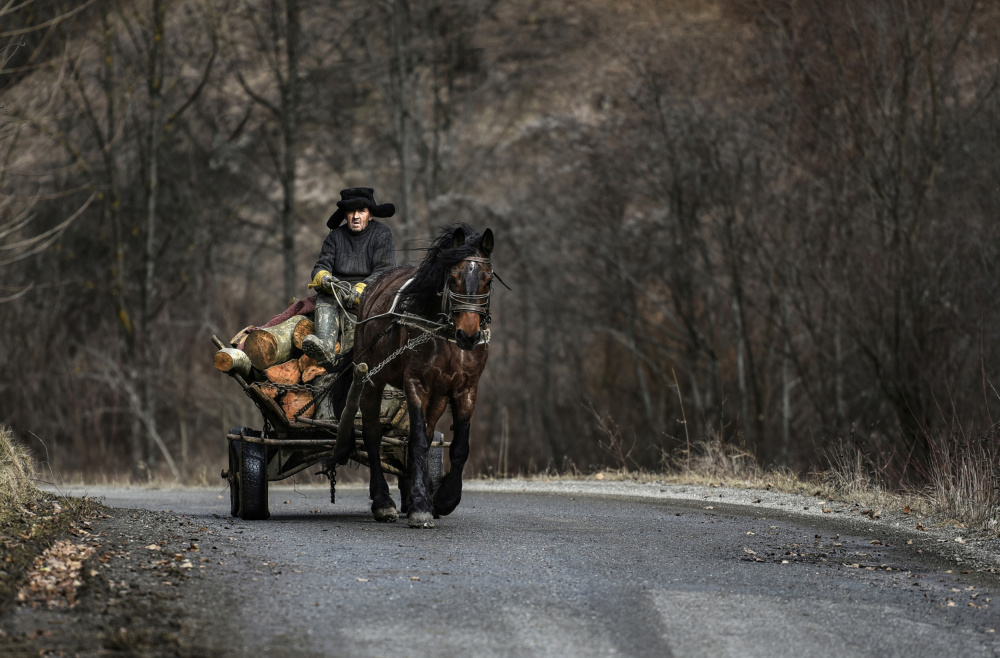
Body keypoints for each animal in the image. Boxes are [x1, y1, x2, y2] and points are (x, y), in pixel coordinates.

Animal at [336, 223, 492, 524]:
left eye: (488, 280)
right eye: (453, 277)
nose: (468, 335)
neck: (445, 332)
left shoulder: (466, 388)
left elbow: (457, 446)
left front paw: (443, 499)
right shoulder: (416, 382)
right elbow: (418, 440)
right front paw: (421, 505)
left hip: (439, 395)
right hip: (370, 379)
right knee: (372, 434)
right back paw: (383, 501)